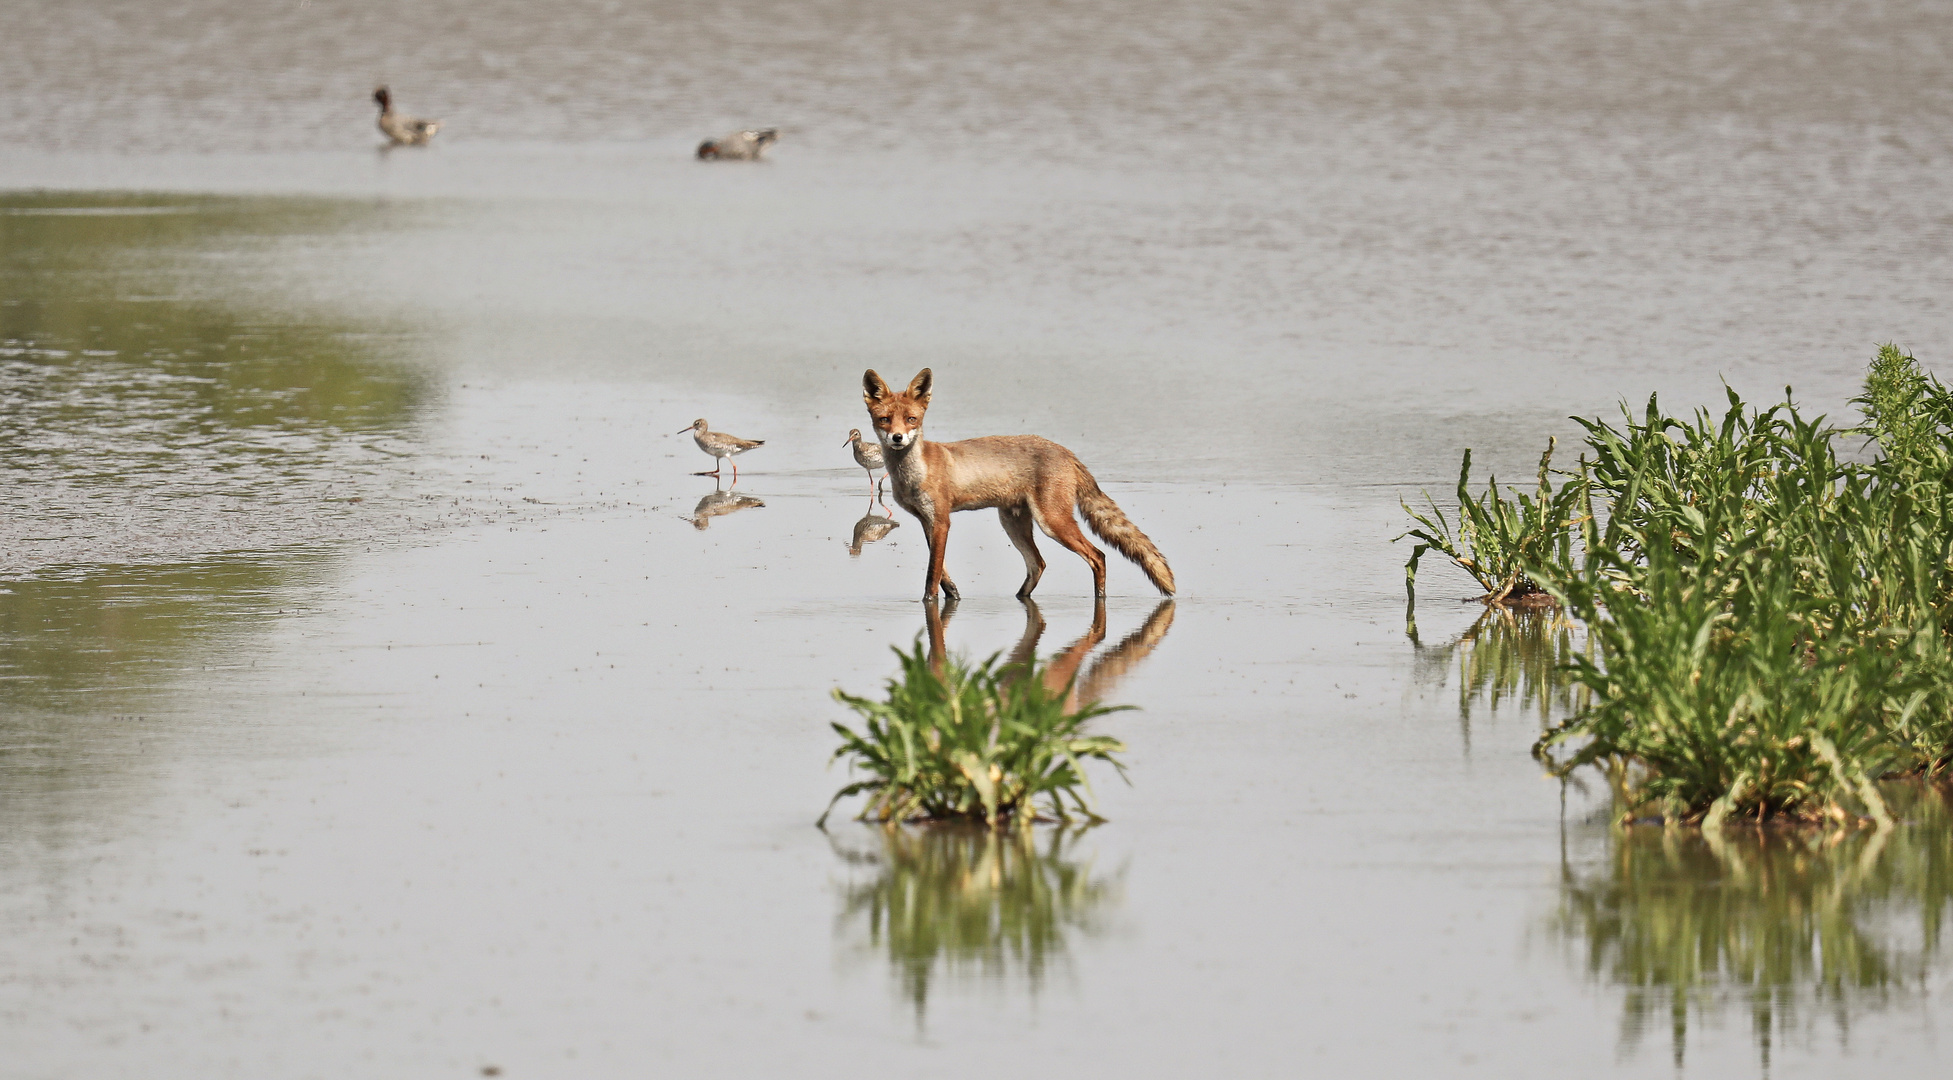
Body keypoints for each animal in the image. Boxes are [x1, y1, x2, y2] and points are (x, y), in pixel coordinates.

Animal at [859, 369, 1171, 601]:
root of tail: (1066, 451)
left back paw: (1100, 598)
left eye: (911, 419)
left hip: (1052, 522)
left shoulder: (942, 521)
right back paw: (1021, 598)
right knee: (1038, 564)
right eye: (884, 420)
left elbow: (932, 574)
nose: (897, 438)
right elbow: (943, 573)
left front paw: (929, 601)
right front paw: (954, 597)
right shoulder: (927, 520)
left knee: (1098, 556)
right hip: (1013, 523)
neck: (913, 474)